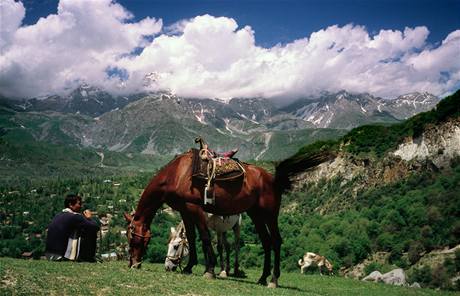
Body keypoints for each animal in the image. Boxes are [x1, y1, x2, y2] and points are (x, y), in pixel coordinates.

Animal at [123, 149, 328, 288]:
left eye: (133, 238)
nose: (133, 264)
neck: (177, 174)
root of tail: (273, 179)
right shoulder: (185, 210)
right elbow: (192, 237)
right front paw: (189, 267)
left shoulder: (195, 208)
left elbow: (205, 237)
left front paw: (210, 270)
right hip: (256, 214)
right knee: (266, 242)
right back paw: (262, 278)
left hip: (269, 215)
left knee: (276, 241)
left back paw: (273, 279)